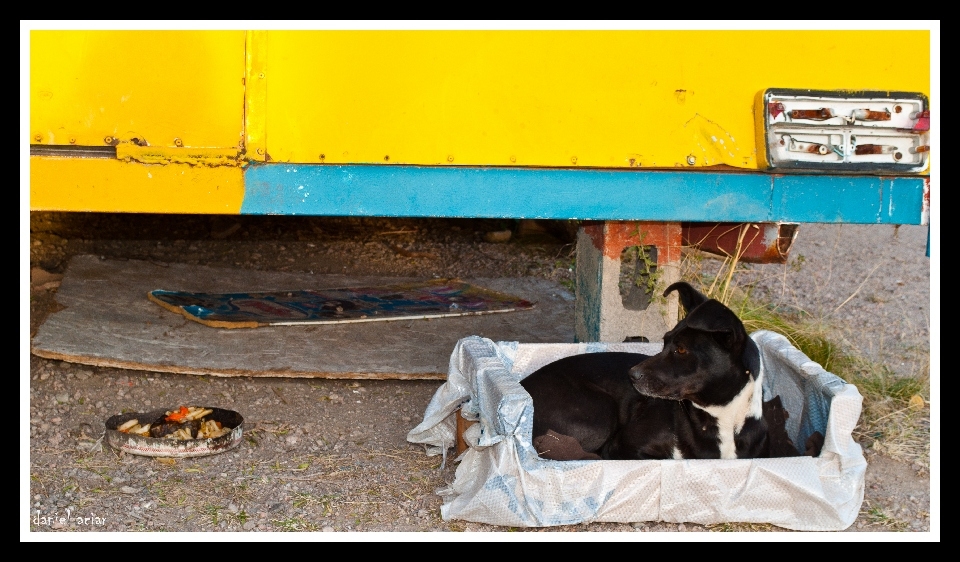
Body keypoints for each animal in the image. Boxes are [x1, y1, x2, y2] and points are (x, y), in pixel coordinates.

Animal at [516, 280, 772, 460]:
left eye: (680, 349)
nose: (632, 375)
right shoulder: (622, 447)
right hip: (600, 413)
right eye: (665, 341)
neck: (720, 419)